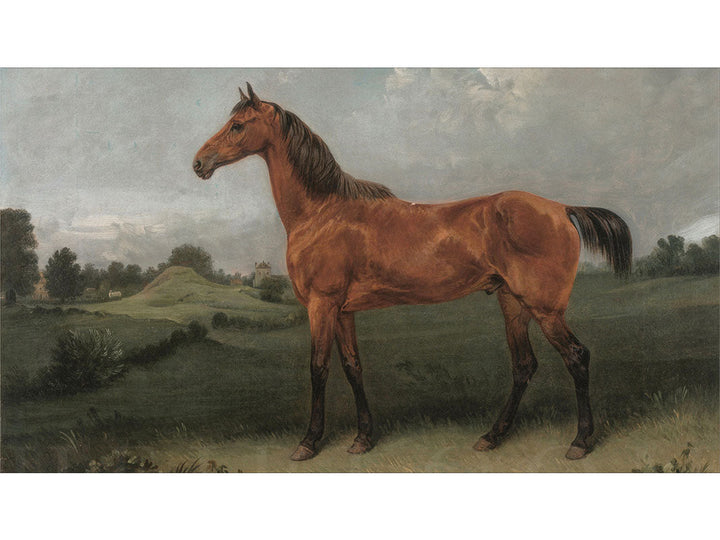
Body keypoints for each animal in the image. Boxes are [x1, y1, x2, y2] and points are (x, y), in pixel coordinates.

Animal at [193, 83, 632, 461]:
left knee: (576, 357)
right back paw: (492, 436)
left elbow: (318, 369)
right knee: (523, 366)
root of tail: (561, 208)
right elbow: (353, 367)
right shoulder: (343, 311)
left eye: (237, 125)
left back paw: (580, 442)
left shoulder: (321, 305)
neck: (323, 212)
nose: (199, 163)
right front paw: (363, 438)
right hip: (513, 304)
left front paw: (308, 442)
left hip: (545, 308)